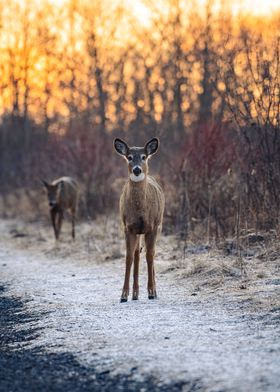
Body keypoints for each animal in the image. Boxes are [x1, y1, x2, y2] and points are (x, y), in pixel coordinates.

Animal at [114, 138, 164, 304]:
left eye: (144, 157)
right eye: (129, 157)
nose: (137, 170)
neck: (140, 210)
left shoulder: (152, 226)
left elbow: (150, 256)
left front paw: (151, 291)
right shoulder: (128, 227)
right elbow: (129, 257)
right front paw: (123, 295)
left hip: (159, 225)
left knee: (151, 253)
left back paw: (153, 292)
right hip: (138, 232)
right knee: (137, 254)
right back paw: (135, 294)